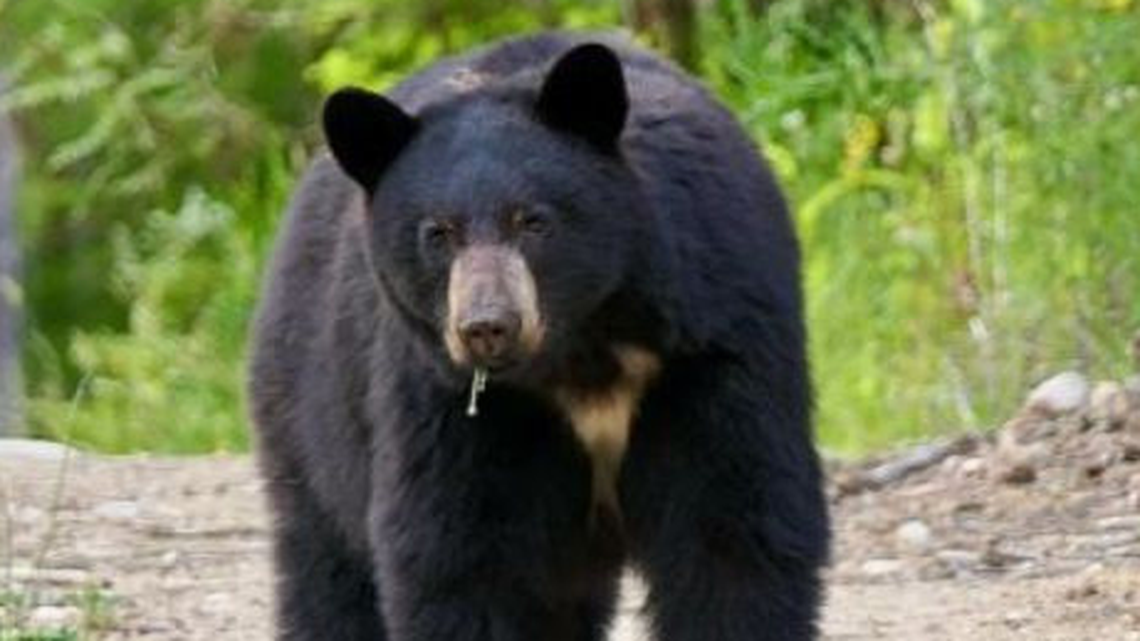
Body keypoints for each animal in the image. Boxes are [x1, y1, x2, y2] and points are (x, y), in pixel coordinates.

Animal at [249, 31, 829, 641]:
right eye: (438, 233)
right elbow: (463, 554)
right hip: (312, 406)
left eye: (532, 221)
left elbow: (730, 528)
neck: (583, 347)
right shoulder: (452, 399)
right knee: (327, 563)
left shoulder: (711, 342)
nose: (487, 326)